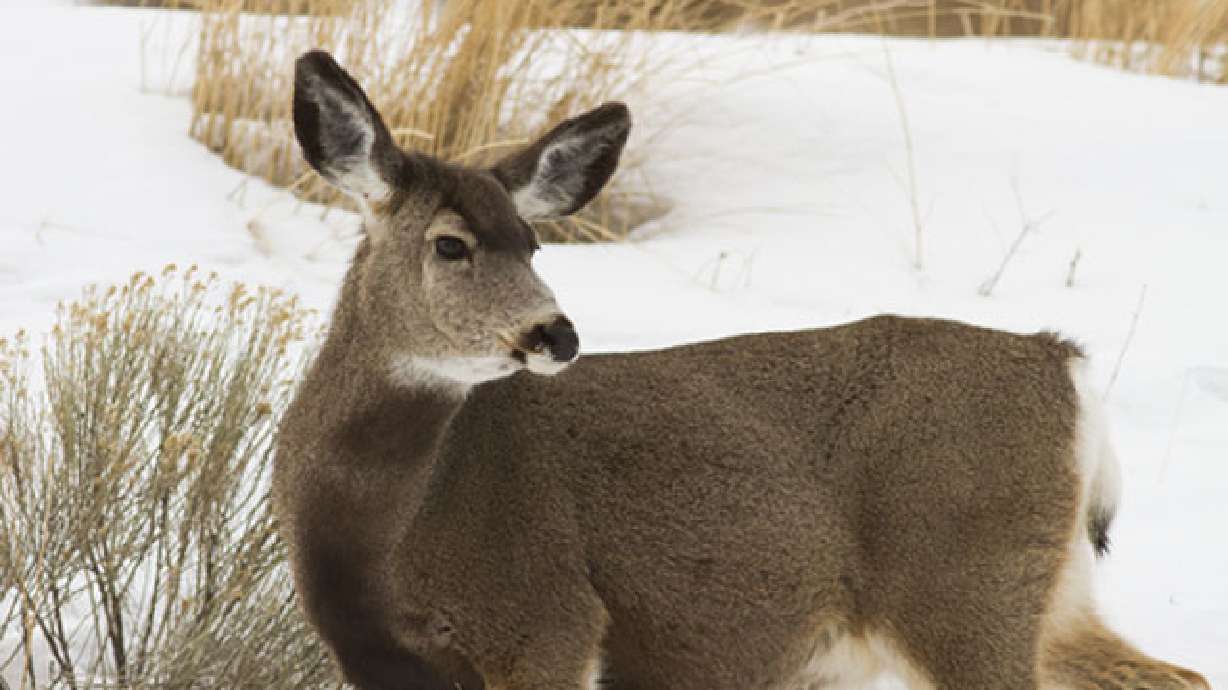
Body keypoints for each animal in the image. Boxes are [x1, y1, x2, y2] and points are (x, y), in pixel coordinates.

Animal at [272, 50, 1211, 690]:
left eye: (535, 243)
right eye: (450, 244)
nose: (556, 333)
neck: (379, 529)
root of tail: (1062, 360)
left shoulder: (547, 618)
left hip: (962, 582)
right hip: (1051, 592)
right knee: (1173, 674)